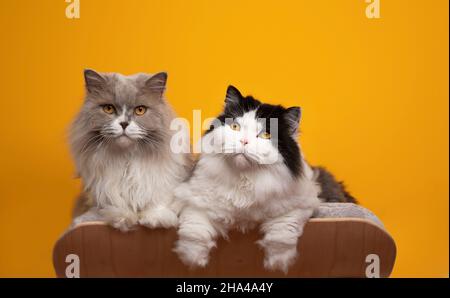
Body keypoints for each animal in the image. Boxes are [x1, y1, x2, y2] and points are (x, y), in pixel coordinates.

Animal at [69, 69, 191, 230]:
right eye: (109, 109)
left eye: (140, 110)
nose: (124, 124)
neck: (127, 157)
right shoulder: (106, 190)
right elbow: (115, 204)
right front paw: (123, 219)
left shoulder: (161, 180)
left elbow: (158, 201)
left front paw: (155, 219)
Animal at [174, 85, 356, 272]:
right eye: (235, 126)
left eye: (266, 135)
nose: (244, 141)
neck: (244, 179)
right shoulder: (195, 200)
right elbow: (195, 231)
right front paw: (193, 260)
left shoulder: (300, 204)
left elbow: (281, 235)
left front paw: (277, 263)